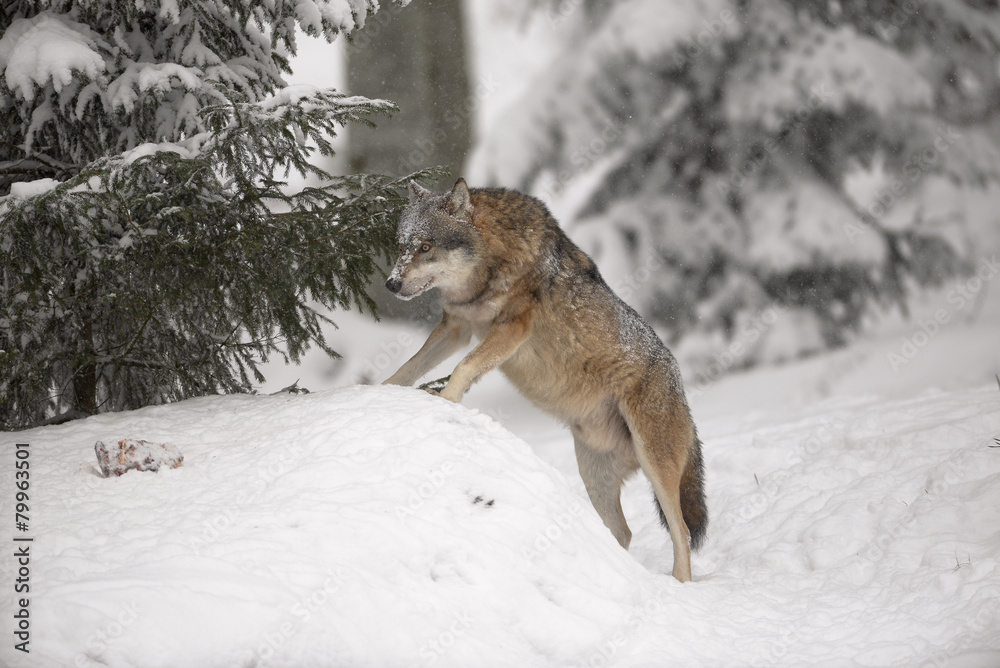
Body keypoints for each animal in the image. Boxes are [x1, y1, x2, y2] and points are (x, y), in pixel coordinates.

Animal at [383, 179, 707, 582]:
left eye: (426, 247)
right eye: (402, 246)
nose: (391, 284)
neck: (493, 260)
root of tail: (681, 388)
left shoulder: (512, 328)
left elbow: (463, 369)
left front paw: (444, 403)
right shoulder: (456, 327)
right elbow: (408, 369)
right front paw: (378, 392)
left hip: (654, 465)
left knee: (681, 533)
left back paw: (678, 585)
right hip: (593, 476)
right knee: (622, 532)